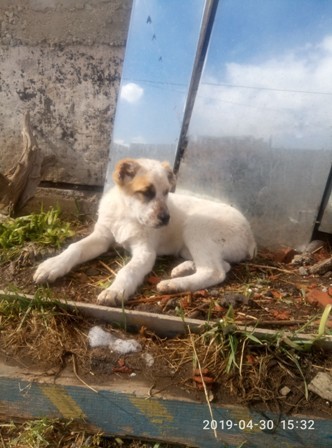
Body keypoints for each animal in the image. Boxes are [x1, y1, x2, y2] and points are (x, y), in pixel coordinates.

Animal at [33, 158, 255, 308]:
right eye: (147, 192)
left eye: (166, 192)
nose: (166, 219)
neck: (127, 216)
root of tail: (250, 236)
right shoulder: (102, 237)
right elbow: (75, 247)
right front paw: (52, 265)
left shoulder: (145, 252)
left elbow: (128, 270)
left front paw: (115, 290)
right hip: (193, 244)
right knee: (222, 266)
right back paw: (182, 269)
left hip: (196, 227)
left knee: (214, 271)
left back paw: (173, 284)